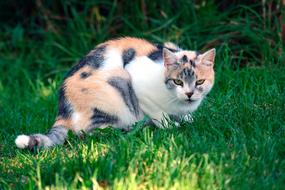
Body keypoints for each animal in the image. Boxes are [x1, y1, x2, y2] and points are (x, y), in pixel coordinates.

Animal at [14, 37, 214, 150]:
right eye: (178, 82)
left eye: (200, 82)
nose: (189, 94)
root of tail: (63, 111)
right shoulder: (136, 78)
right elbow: (158, 112)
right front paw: (169, 125)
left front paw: (187, 119)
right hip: (117, 84)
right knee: (92, 133)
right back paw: (134, 128)